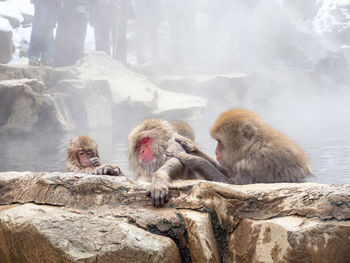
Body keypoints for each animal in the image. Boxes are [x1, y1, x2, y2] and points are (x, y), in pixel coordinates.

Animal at [174, 108, 314, 185]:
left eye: (219, 142)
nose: (216, 151)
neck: (254, 146)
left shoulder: (254, 163)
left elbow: (233, 184)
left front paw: (195, 160)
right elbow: (228, 172)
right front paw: (193, 149)